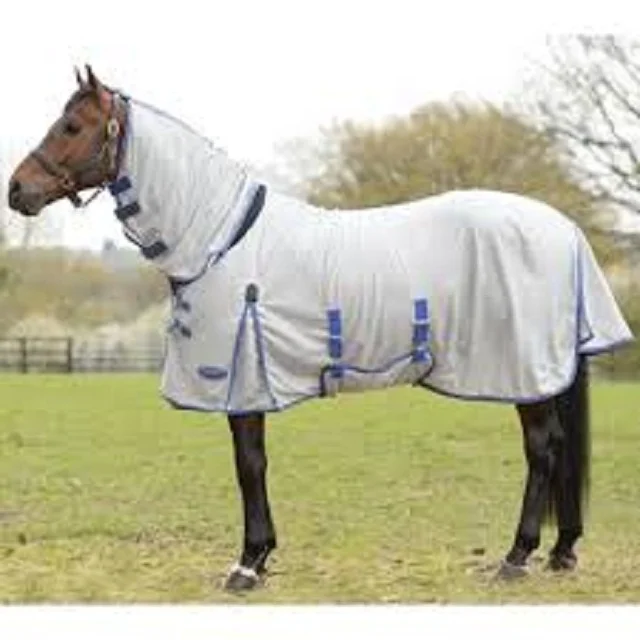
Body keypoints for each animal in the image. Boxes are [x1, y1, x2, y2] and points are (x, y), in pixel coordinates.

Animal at [8, 66, 632, 592]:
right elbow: (253, 466)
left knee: (543, 449)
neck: (218, 237)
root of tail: (563, 229)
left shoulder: (244, 381)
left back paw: (517, 556)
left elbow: (249, 466)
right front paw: (260, 558)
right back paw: (561, 550)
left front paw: (249, 563)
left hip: (523, 368)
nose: (17, 190)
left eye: (72, 126)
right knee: (558, 450)